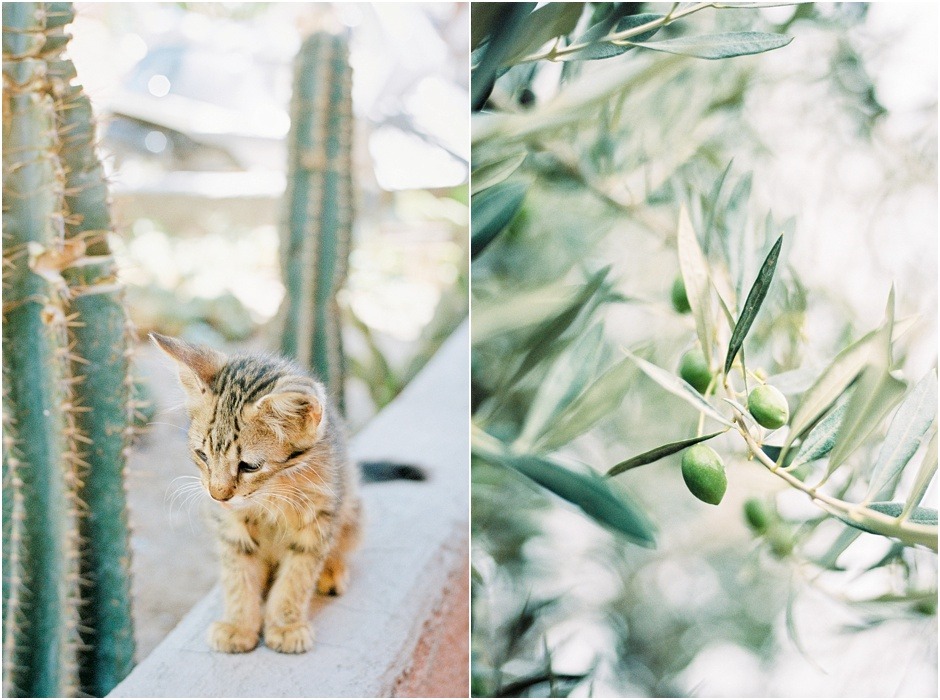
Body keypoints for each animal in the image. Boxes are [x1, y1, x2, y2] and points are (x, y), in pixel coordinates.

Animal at [152, 334, 362, 656]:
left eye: (249, 466)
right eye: (202, 455)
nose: (218, 495)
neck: (272, 496)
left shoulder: (318, 520)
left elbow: (296, 577)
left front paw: (286, 624)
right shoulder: (231, 529)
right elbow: (238, 578)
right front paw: (239, 625)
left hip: (352, 507)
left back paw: (331, 570)